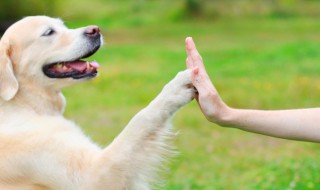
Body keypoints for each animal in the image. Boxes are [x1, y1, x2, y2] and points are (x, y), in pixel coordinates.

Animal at [0, 15, 195, 189]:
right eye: (49, 32)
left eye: (63, 25)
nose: (95, 30)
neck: (24, 104)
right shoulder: (92, 175)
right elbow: (140, 120)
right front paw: (177, 87)